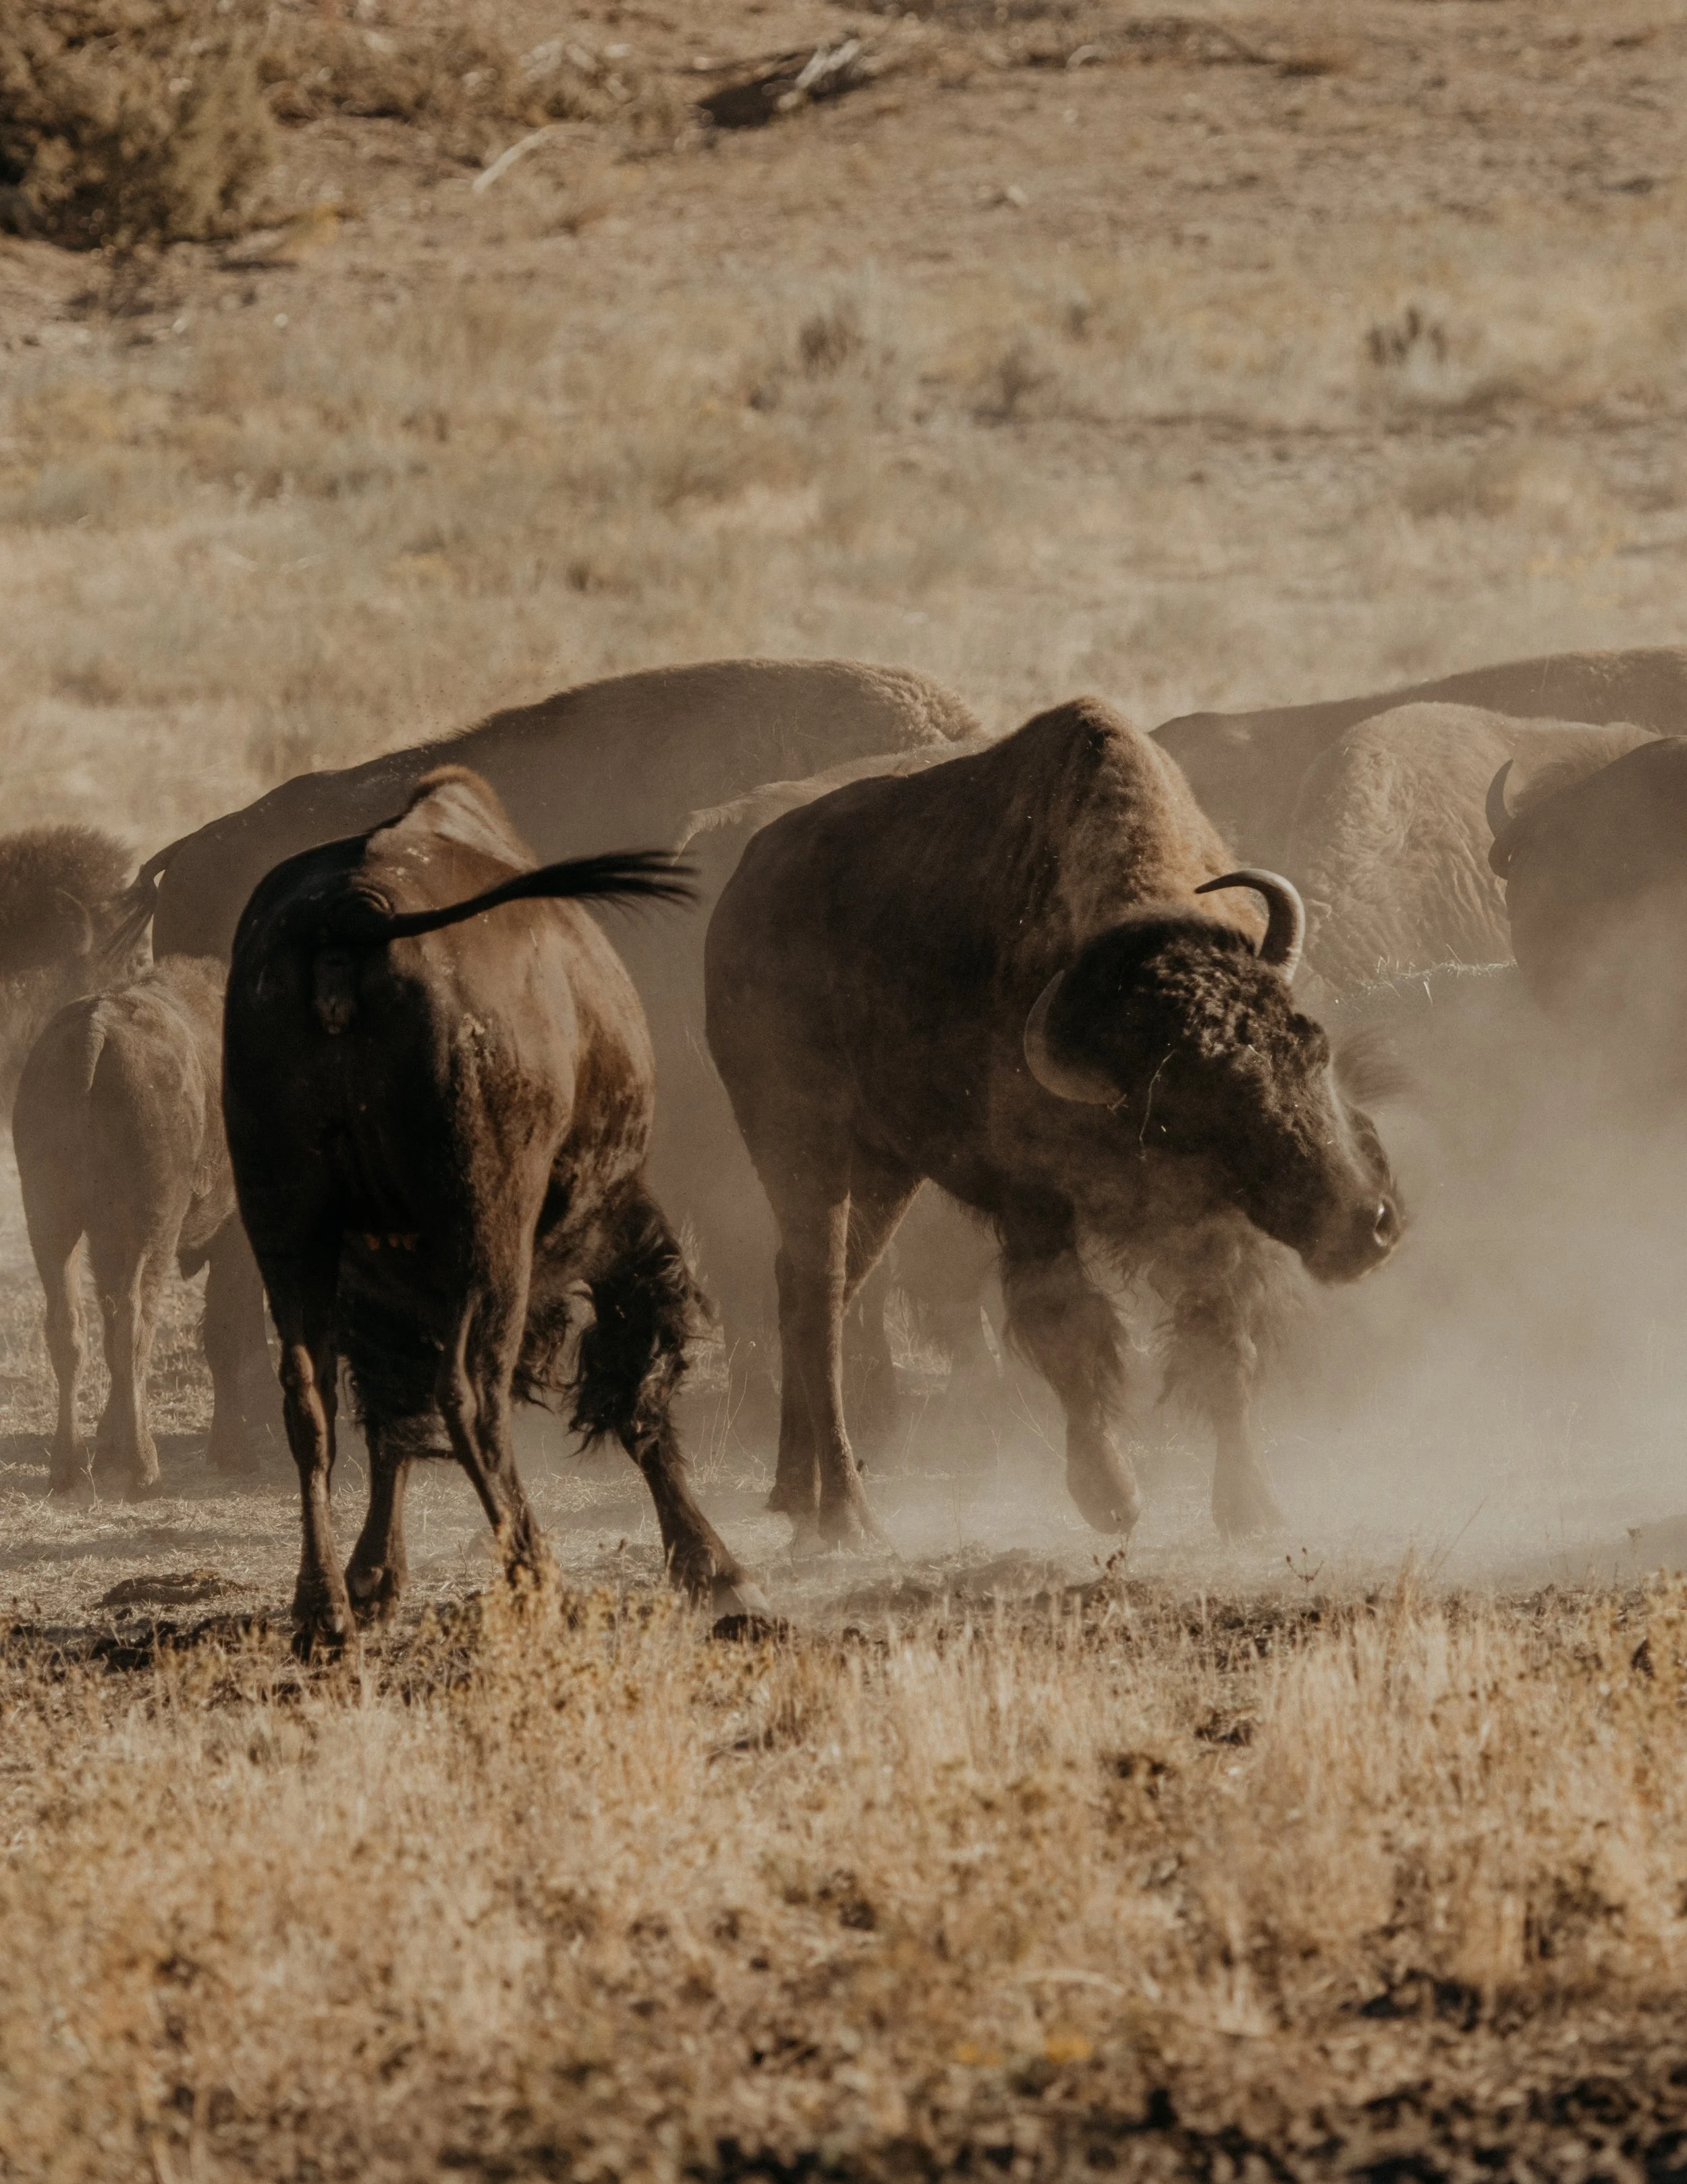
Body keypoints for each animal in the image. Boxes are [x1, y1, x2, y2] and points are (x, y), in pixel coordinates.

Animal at [13, 957, 269, 1498]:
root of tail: (95, 1031)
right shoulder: (236, 1234)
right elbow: (222, 1331)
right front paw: (235, 1452)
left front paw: (108, 1441)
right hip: (151, 1226)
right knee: (135, 1320)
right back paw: (143, 1466)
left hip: (51, 1218)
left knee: (70, 1324)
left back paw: (69, 1465)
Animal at [224, 764, 762, 1653]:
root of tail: (354, 910)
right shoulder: (613, 1222)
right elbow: (635, 1389)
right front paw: (715, 1568)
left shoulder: (368, 1277)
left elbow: (389, 1424)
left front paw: (374, 1578)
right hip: (490, 1233)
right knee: (471, 1394)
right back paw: (542, 1577)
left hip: (288, 1230)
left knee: (310, 1398)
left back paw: (322, 1610)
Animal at [705, 697, 1403, 1547]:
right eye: (1190, 1111)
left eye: (1311, 1045)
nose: (1366, 1222)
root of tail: (735, 898)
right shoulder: (1033, 1206)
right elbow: (1071, 1336)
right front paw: (1111, 1498)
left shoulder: (1207, 1230)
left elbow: (1221, 1343)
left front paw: (1250, 1506)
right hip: (797, 1142)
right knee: (819, 1298)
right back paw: (846, 1515)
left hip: (883, 1170)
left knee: (811, 1293)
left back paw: (794, 1494)